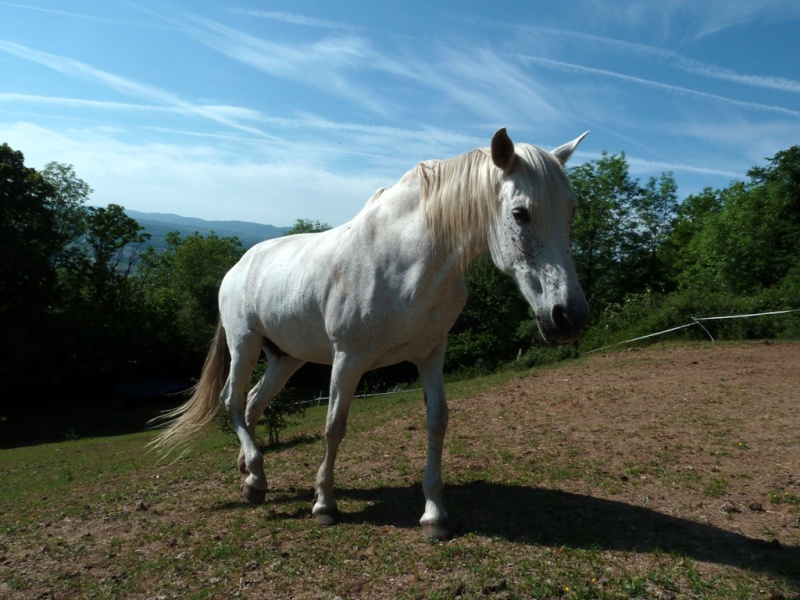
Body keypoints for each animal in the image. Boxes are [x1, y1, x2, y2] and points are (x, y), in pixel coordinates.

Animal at [152, 126, 588, 540]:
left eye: (570, 210)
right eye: (521, 213)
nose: (569, 317)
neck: (406, 263)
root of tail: (239, 265)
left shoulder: (431, 355)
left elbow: (437, 421)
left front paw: (434, 515)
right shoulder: (348, 359)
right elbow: (334, 426)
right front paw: (324, 505)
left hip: (286, 358)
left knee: (254, 403)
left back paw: (251, 474)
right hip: (245, 342)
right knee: (232, 400)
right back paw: (256, 478)